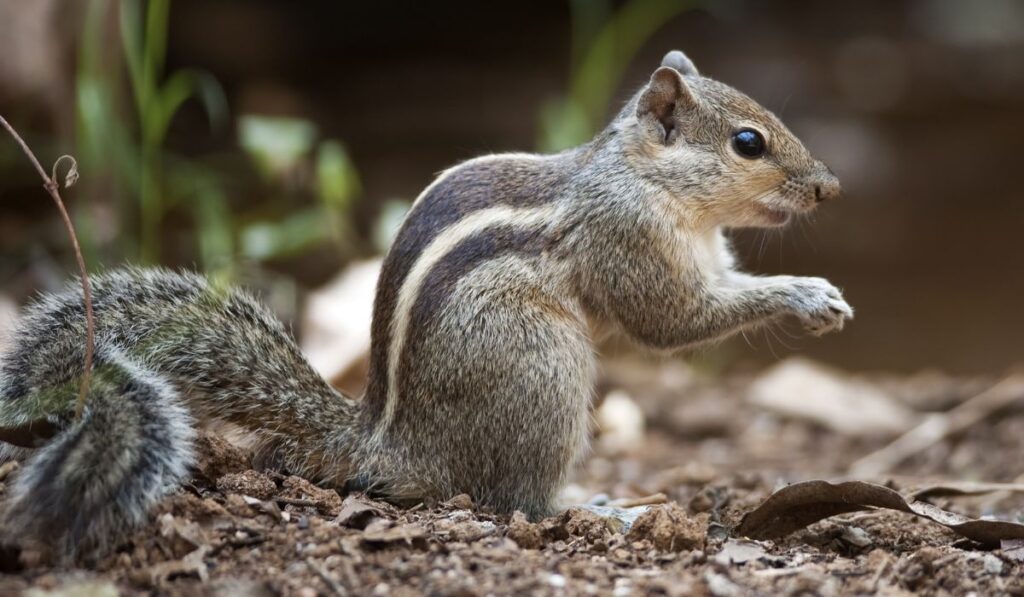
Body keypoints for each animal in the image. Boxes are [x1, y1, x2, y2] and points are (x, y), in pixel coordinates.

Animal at [0, 50, 851, 560]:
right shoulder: (629, 239)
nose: (829, 188)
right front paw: (807, 293)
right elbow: (673, 321)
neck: (644, 177)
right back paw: (597, 506)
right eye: (748, 142)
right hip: (545, 371)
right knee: (514, 498)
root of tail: (386, 444)